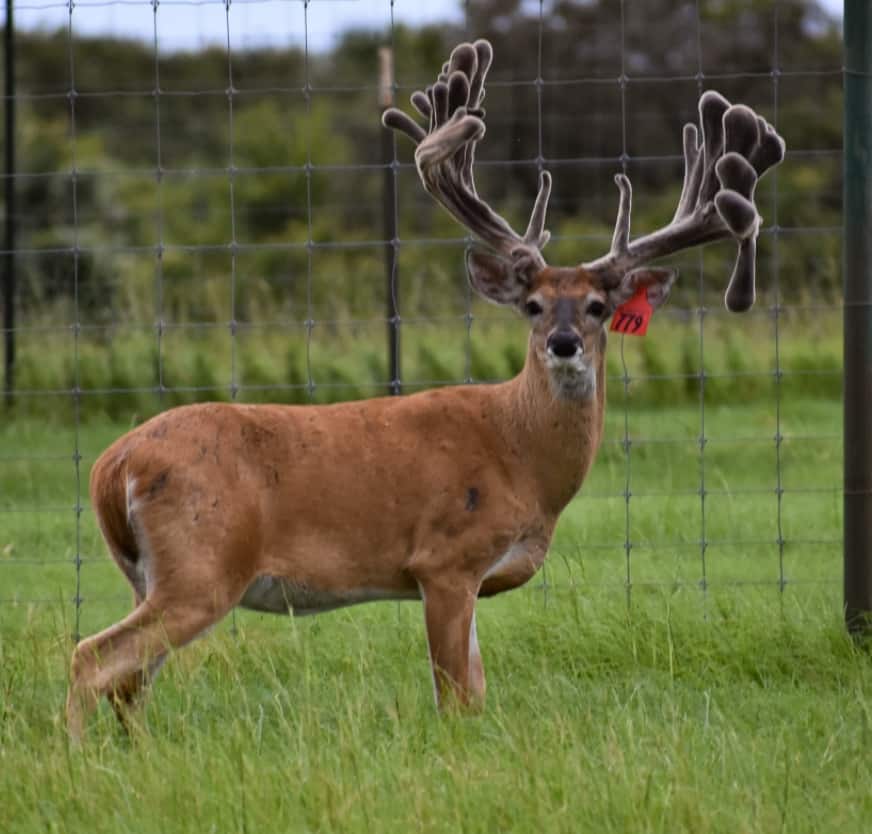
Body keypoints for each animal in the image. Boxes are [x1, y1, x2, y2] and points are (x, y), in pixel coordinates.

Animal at [66, 39, 784, 738]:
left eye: (598, 307)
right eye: (532, 305)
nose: (563, 344)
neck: (519, 453)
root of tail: (112, 464)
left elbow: (478, 692)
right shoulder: (444, 560)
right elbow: (456, 697)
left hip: (151, 574)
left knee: (130, 683)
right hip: (202, 562)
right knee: (93, 659)